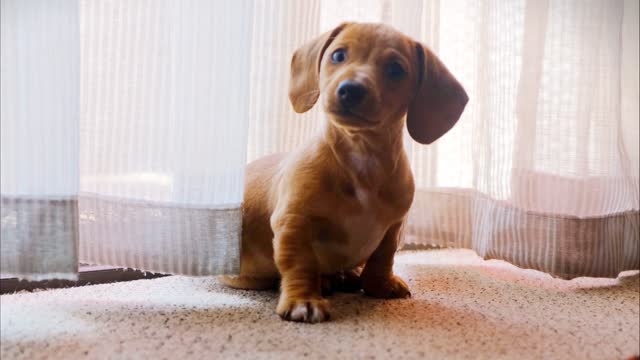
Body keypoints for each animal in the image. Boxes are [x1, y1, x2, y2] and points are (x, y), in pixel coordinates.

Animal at [222, 22, 468, 324]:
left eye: (396, 69)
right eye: (338, 55)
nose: (351, 90)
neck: (362, 158)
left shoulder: (394, 227)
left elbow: (383, 258)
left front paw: (378, 285)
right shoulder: (294, 222)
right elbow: (300, 263)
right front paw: (303, 300)